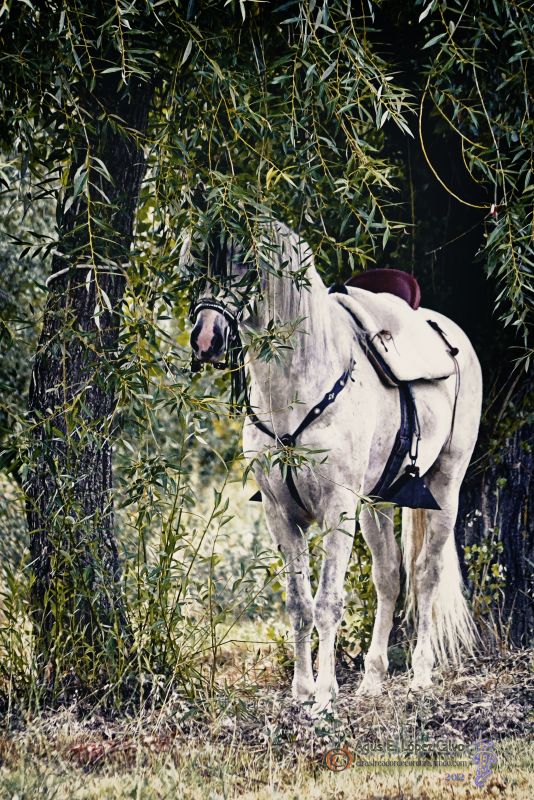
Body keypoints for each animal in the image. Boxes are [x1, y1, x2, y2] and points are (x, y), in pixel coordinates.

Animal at [189, 222, 486, 716]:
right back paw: (373, 679)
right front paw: (302, 690)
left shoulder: (337, 509)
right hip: (377, 505)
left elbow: (328, 601)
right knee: (389, 576)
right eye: (196, 256)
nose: (206, 339)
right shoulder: (280, 513)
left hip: (445, 485)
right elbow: (299, 604)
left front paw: (326, 695)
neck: (295, 386)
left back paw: (420, 675)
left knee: (425, 573)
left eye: (247, 261)